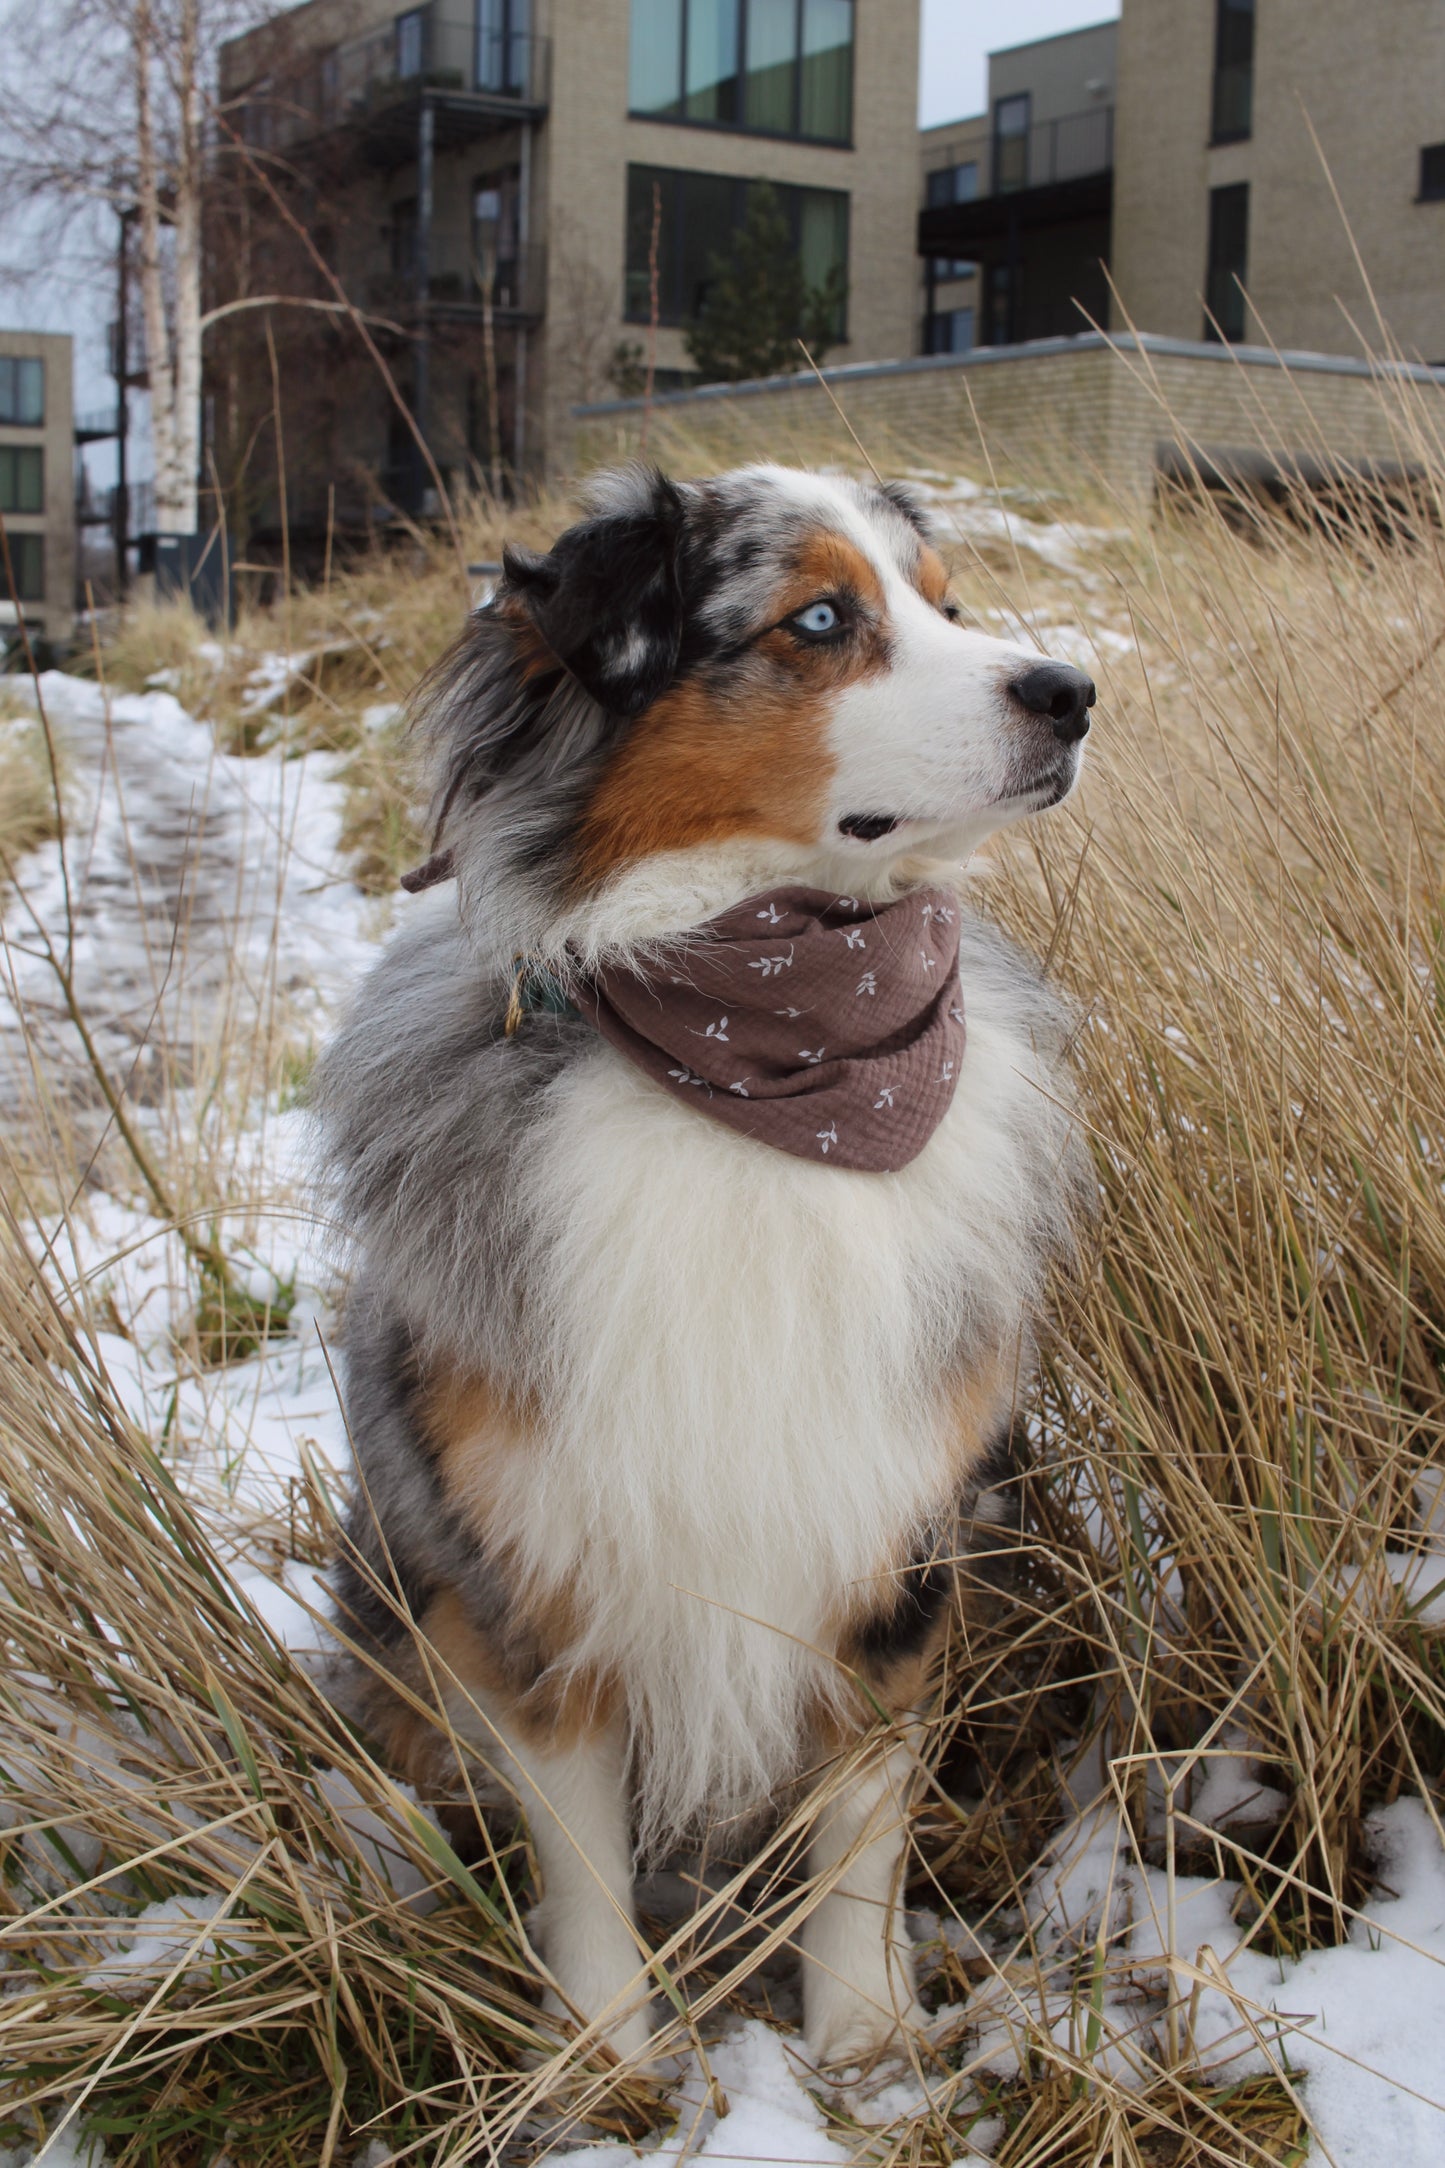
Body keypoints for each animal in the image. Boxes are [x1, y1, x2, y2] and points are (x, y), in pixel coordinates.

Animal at [314, 461, 1083, 2063]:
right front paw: (601, 2054)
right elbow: (580, 1849)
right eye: (820, 619)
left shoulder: (891, 1533)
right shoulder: (536, 1562)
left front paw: (864, 2039)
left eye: (948, 604)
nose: (1073, 690)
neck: (765, 1048)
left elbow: (860, 1830)